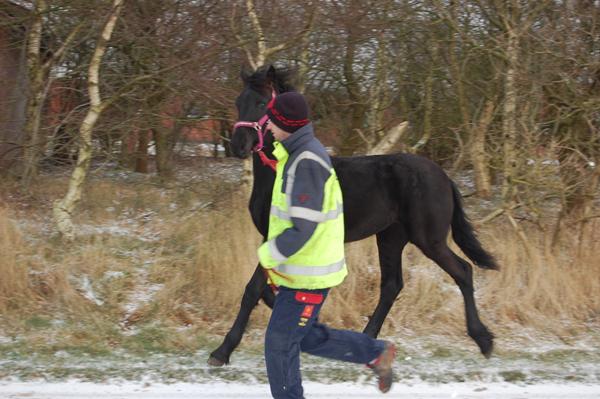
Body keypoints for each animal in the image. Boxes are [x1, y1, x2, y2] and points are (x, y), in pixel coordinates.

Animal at [209, 65, 500, 368]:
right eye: (238, 102)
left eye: (262, 102)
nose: (239, 145)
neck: (279, 174)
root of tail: (444, 177)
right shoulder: (276, 242)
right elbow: (269, 289)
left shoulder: (277, 238)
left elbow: (252, 289)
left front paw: (222, 351)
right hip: (390, 238)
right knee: (392, 285)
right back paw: (366, 341)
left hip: (429, 239)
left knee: (463, 272)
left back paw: (483, 339)